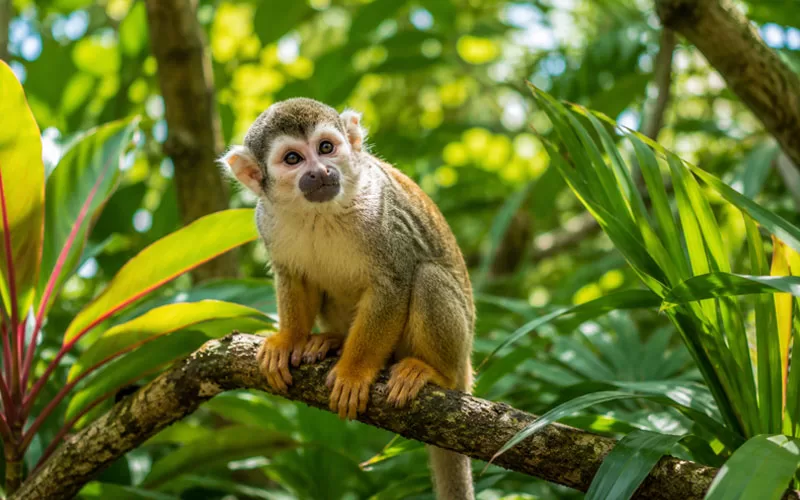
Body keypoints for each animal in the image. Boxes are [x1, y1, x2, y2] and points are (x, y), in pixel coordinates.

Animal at [221, 98, 475, 500]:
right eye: (293, 159)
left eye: (326, 147)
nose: (320, 171)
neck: (318, 212)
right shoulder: (266, 220)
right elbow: (294, 276)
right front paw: (288, 341)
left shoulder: (383, 215)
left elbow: (394, 282)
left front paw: (354, 372)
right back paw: (331, 341)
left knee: (427, 276)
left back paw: (434, 372)